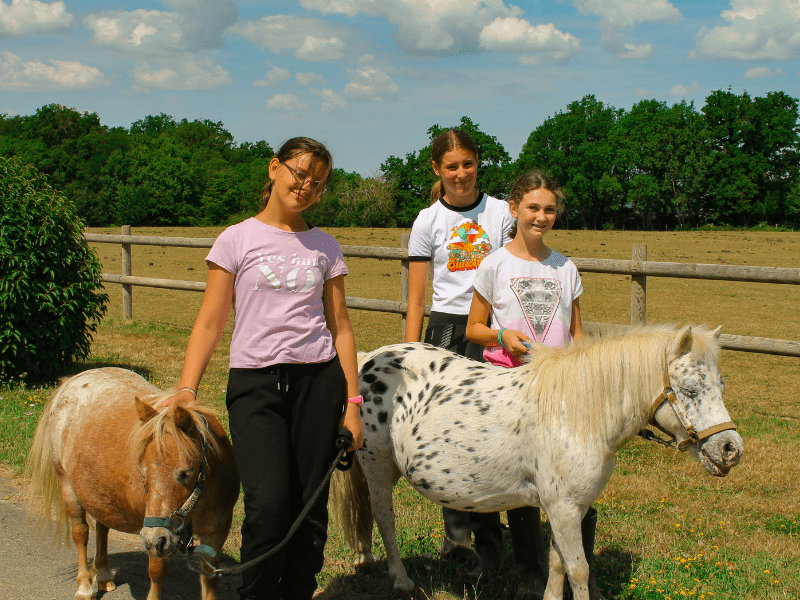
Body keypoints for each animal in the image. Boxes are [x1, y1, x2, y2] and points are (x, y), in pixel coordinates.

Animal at [28, 366, 241, 600]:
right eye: (143, 473)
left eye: (185, 473)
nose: (155, 540)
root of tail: (72, 382)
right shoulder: (153, 532)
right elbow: (157, 571)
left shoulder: (216, 532)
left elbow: (210, 579)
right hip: (67, 486)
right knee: (81, 533)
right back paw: (84, 586)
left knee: (102, 528)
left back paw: (103, 574)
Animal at [332, 328, 744, 600]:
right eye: (690, 390)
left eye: (722, 386)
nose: (730, 449)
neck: (575, 413)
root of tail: (369, 360)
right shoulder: (563, 507)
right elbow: (578, 569)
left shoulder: (569, 508)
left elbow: (558, 564)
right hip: (378, 465)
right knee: (384, 517)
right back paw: (400, 580)